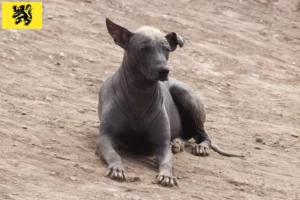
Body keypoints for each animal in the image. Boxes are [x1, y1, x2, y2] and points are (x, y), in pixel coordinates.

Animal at [96, 18, 244, 188]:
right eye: (144, 48)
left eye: (166, 49)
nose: (164, 70)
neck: (140, 94)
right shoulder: (105, 138)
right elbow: (114, 155)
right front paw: (117, 168)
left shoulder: (162, 145)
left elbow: (167, 162)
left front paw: (167, 176)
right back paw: (178, 143)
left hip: (186, 96)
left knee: (202, 134)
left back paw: (198, 147)